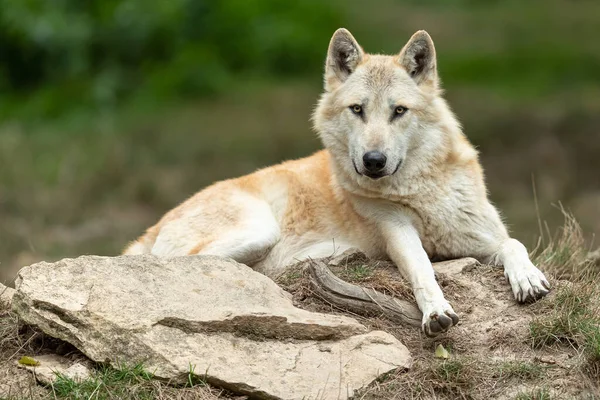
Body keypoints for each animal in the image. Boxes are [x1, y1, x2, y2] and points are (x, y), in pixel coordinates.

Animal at [124, 28, 552, 336]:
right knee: (194, 264)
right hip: (259, 230)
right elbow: (422, 270)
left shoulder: (480, 236)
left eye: (399, 111)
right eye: (357, 109)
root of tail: (152, 227)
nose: (373, 161)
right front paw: (436, 312)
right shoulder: (400, 235)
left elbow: (514, 243)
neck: (421, 191)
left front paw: (528, 279)